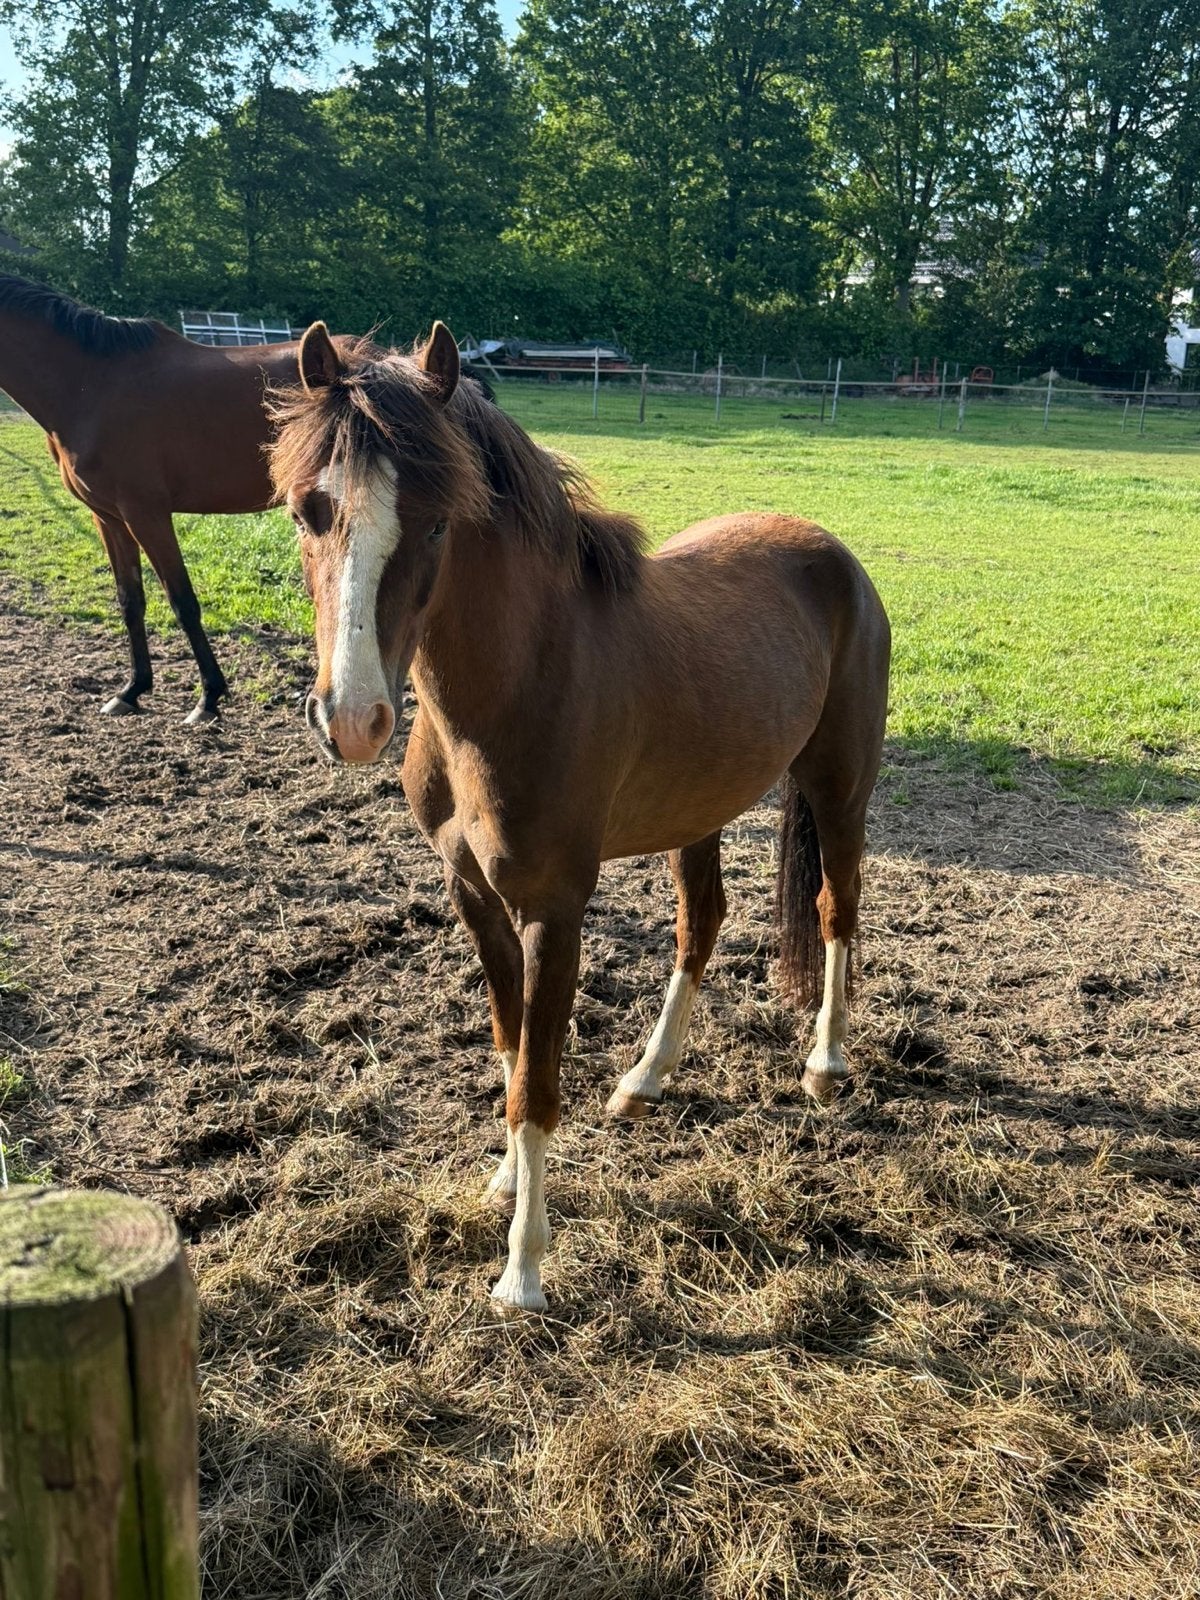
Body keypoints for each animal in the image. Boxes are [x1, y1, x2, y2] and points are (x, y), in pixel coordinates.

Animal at [0, 273, 356, 723]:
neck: (90, 384)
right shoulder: (108, 518)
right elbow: (130, 600)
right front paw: (132, 690)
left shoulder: (146, 514)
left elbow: (182, 602)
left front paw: (209, 697)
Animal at [269, 321, 892, 1312]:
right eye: (306, 511)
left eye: (438, 520)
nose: (354, 719)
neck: (520, 683)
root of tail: (830, 552)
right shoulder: (474, 896)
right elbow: (509, 1048)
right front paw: (503, 1183)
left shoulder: (553, 907)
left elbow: (538, 1080)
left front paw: (523, 1271)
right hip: (698, 811)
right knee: (700, 926)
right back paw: (645, 1079)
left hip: (839, 787)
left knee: (836, 911)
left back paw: (824, 1065)